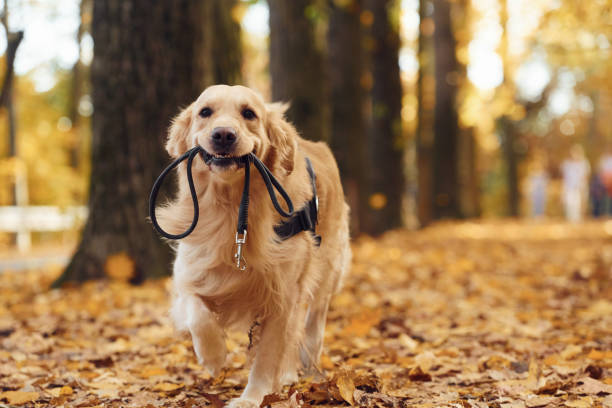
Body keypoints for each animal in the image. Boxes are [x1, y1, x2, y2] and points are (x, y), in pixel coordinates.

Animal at [155, 84, 352, 406]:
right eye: (205, 112)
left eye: (249, 114)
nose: (223, 134)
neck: (232, 208)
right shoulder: (191, 273)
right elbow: (199, 315)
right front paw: (213, 356)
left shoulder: (282, 295)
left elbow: (267, 355)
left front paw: (252, 397)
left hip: (326, 273)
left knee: (312, 326)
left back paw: (309, 372)